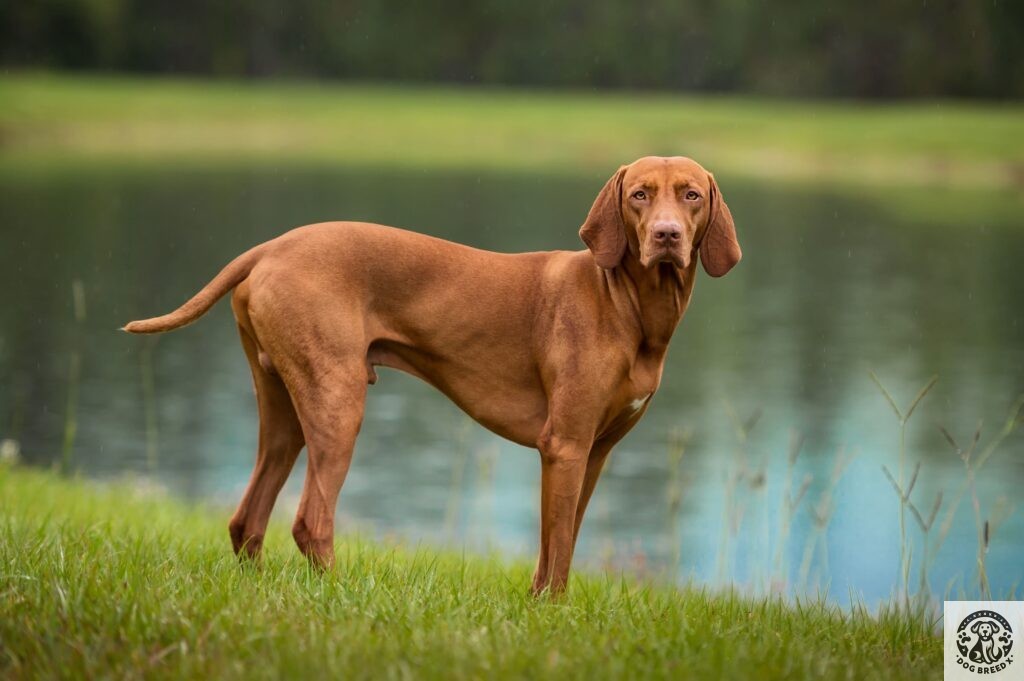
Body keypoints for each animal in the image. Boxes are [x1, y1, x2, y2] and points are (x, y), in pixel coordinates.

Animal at [123, 156, 741, 593]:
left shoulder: (594, 453)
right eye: (639, 195)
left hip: (285, 412)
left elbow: (557, 544)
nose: (666, 235)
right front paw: (552, 611)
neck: (628, 306)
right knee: (309, 520)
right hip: (338, 404)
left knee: (247, 518)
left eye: (690, 194)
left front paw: (540, 605)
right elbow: (560, 546)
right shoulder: (564, 446)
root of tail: (270, 246)